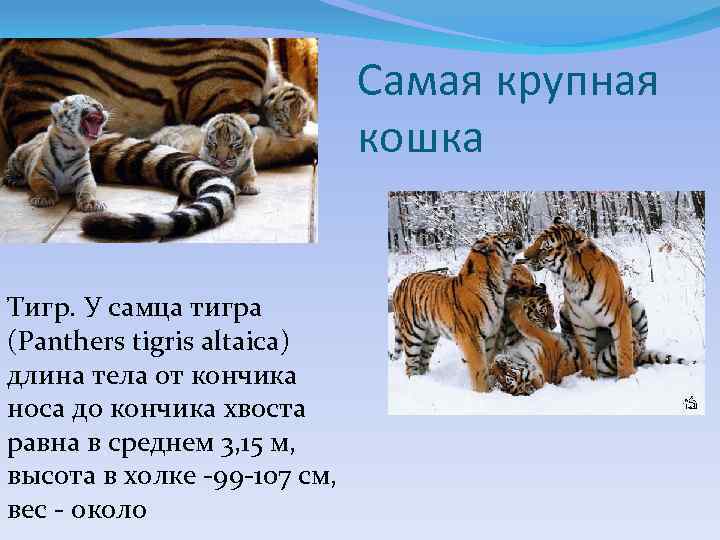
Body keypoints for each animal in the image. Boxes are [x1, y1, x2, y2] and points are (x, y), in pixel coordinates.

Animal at [391, 232, 524, 392]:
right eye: (505, 234)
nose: (518, 232)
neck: (499, 279)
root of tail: (399, 284)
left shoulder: (491, 334)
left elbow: (488, 362)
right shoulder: (471, 337)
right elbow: (479, 368)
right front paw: (483, 392)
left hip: (430, 336)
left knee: (423, 360)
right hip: (413, 334)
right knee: (410, 364)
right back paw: (416, 381)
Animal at [522, 217, 635, 380]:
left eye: (545, 248)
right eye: (536, 240)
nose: (524, 255)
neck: (573, 279)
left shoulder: (620, 315)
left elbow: (624, 349)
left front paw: (626, 378)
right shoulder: (581, 323)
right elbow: (586, 353)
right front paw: (589, 377)